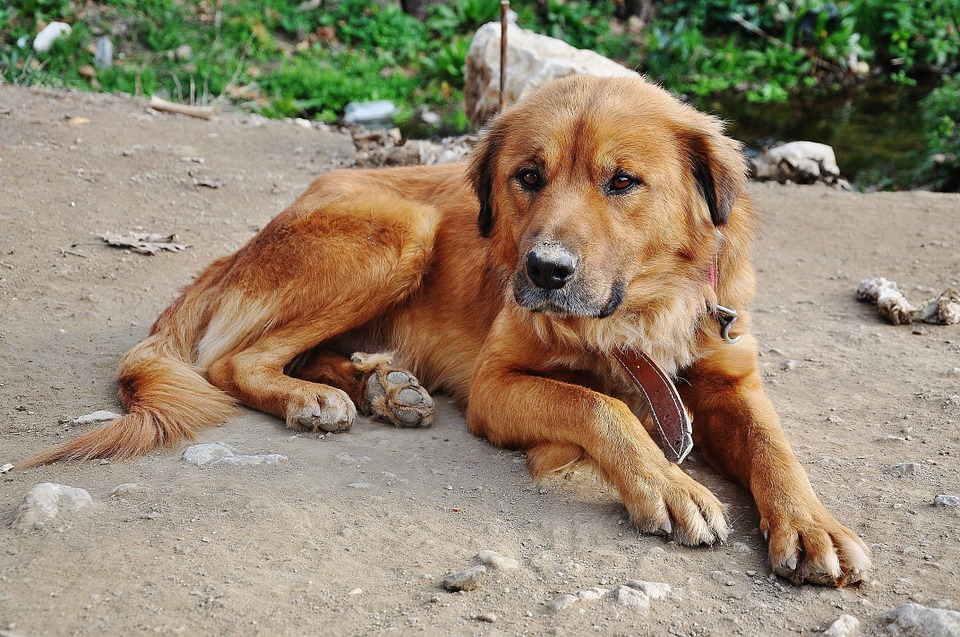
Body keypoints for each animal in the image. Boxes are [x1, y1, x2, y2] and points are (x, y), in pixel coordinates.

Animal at [28, 74, 872, 588]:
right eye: (528, 176)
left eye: (622, 181)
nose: (544, 272)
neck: (640, 311)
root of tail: (239, 247)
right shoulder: (499, 387)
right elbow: (604, 405)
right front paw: (668, 483)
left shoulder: (730, 376)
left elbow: (774, 447)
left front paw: (813, 526)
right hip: (404, 228)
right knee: (234, 359)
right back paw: (314, 397)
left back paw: (383, 384)